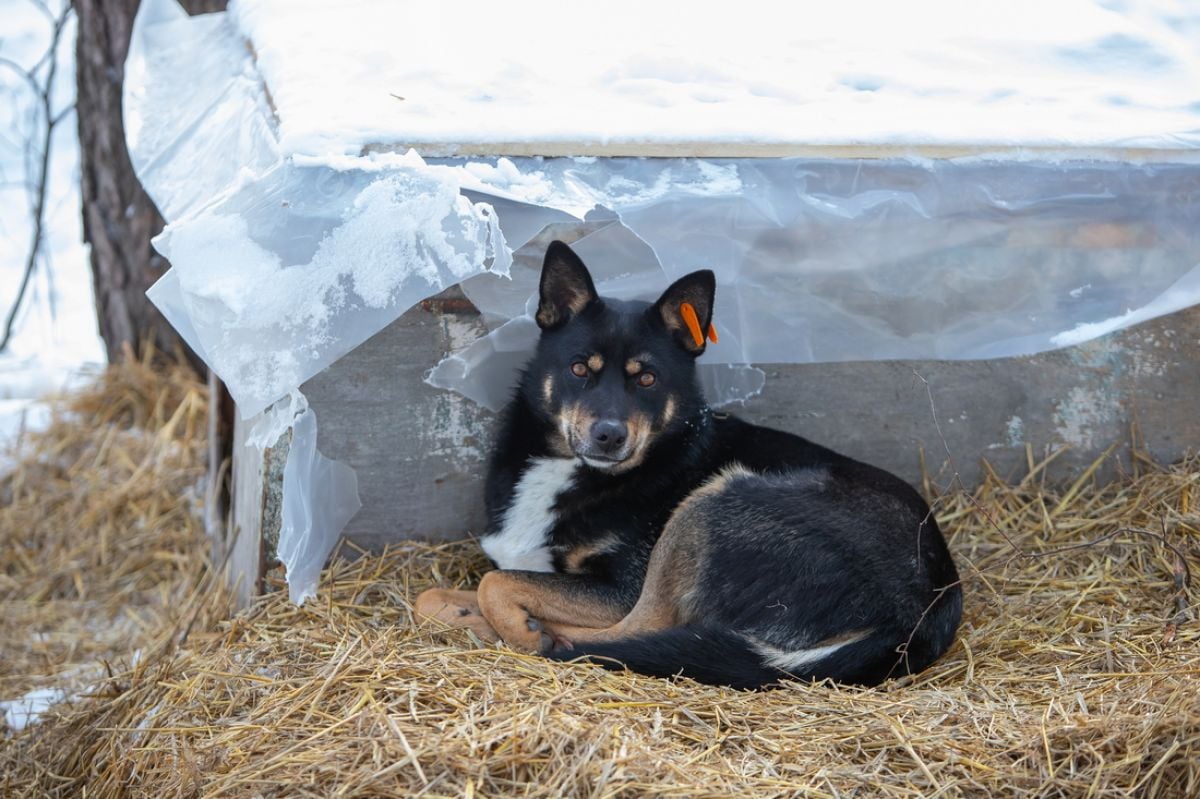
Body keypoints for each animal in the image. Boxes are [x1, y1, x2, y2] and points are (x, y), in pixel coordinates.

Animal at [417, 239, 960, 686]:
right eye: (579, 369)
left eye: (647, 379)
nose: (609, 435)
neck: (574, 473)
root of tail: (908, 622)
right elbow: (442, 594)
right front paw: (470, 614)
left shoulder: (619, 588)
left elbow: (495, 582)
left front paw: (523, 629)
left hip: (713, 502)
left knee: (637, 630)